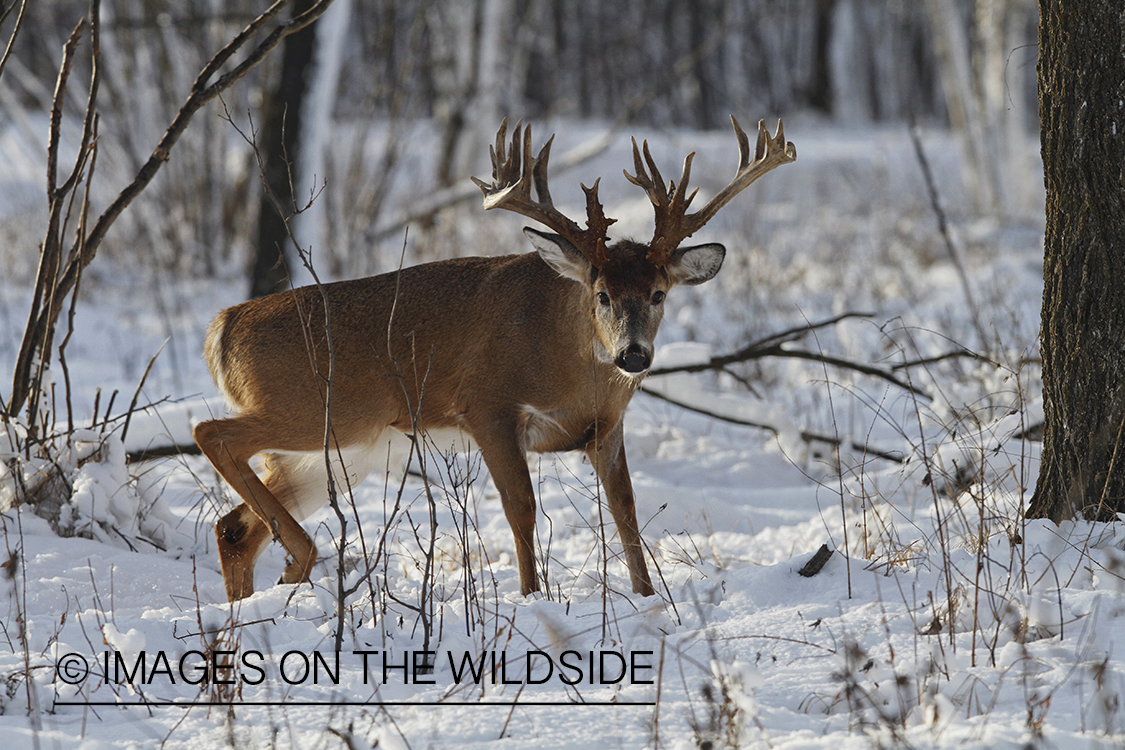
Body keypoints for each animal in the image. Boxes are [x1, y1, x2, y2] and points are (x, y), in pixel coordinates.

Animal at [193, 114, 796, 602]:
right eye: (601, 294)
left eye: (659, 293)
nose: (633, 355)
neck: (569, 367)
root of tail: (222, 327)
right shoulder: (487, 405)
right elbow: (521, 510)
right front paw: (532, 598)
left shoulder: (606, 427)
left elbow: (625, 511)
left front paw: (649, 600)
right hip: (317, 411)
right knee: (211, 433)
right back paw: (301, 559)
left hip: (341, 450)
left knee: (234, 528)